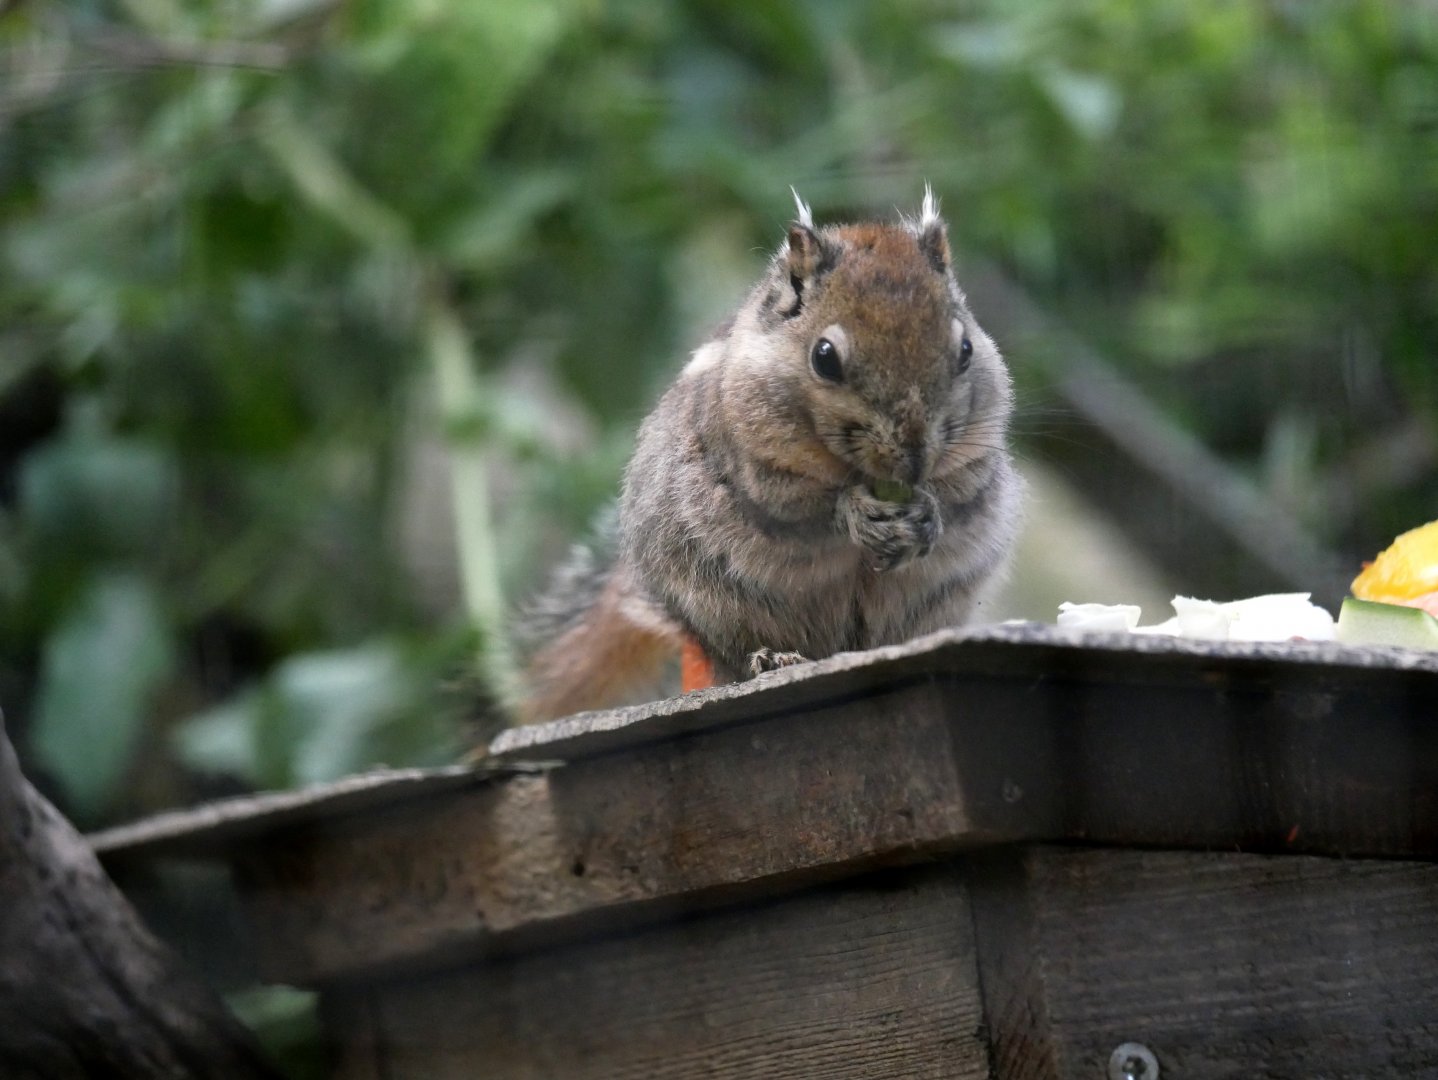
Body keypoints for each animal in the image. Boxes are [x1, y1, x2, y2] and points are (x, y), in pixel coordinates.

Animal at [516, 188, 1023, 724]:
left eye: (965, 349)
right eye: (824, 356)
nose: (912, 459)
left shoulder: (974, 457)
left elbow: (959, 491)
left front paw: (926, 513)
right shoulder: (748, 457)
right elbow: (798, 505)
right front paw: (856, 512)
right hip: (716, 599)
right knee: (734, 654)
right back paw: (770, 658)